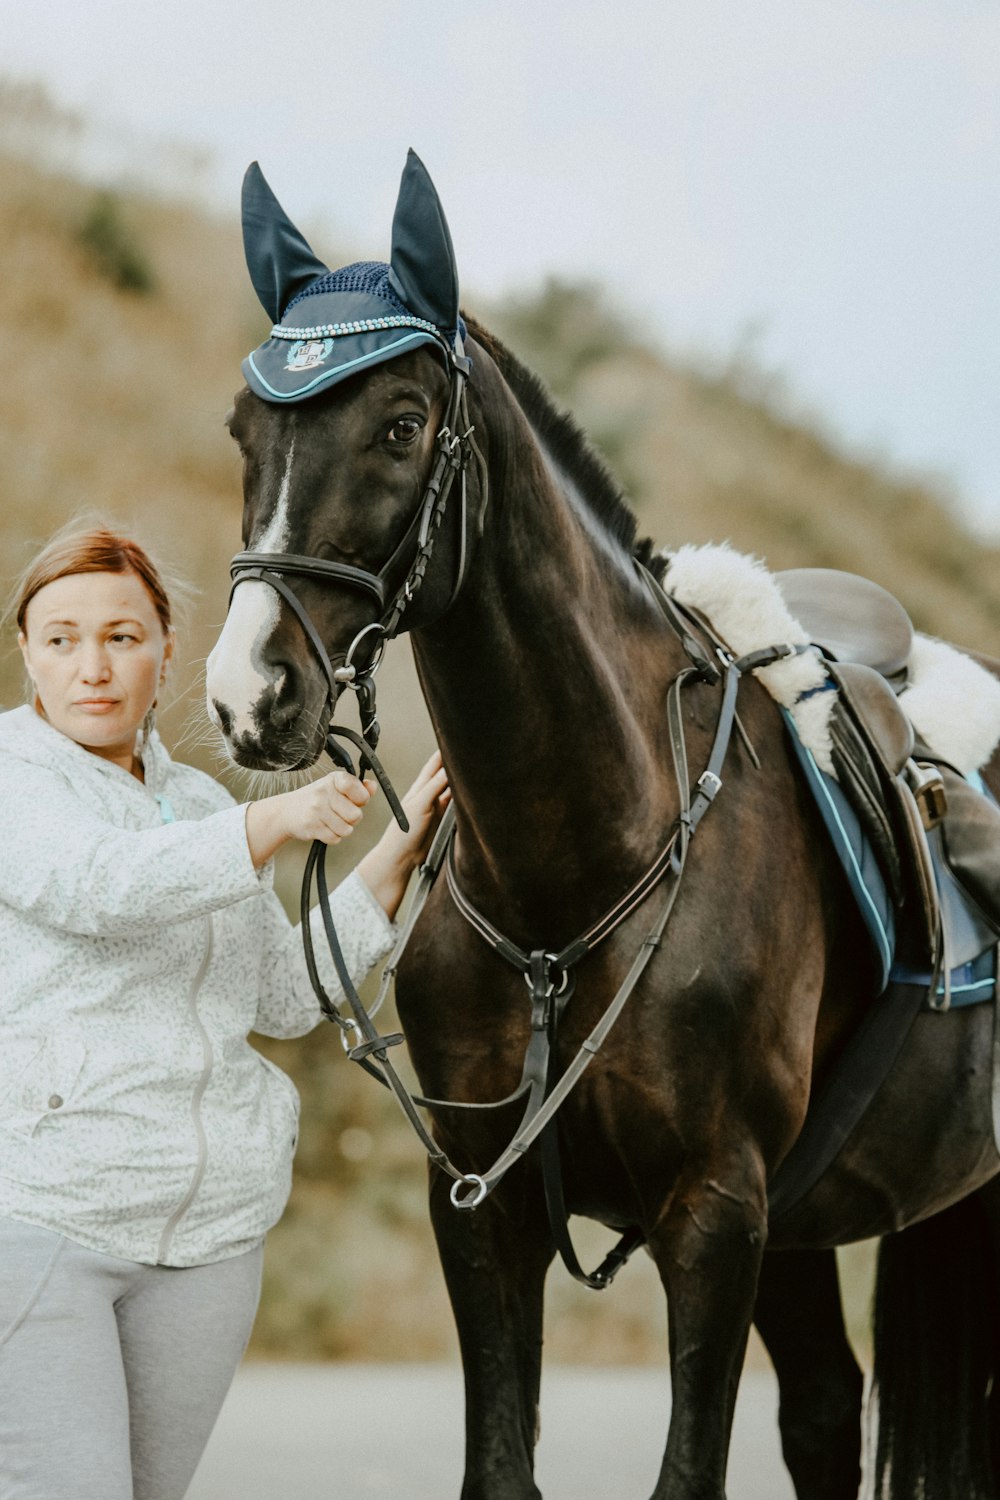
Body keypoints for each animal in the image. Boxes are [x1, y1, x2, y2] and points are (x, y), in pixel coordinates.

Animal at [205, 158, 1000, 1494]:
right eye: (243, 429)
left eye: (402, 426)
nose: (248, 693)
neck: (572, 878)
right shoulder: (486, 1213)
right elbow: (499, 1463)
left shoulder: (714, 1218)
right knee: (825, 1412)